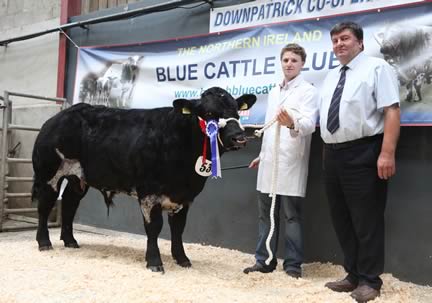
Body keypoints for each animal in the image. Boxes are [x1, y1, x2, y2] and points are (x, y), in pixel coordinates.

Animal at [33, 87, 256, 274]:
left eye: (237, 112)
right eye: (209, 113)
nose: (239, 137)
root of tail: (58, 117)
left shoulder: (185, 197)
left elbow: (178, 228)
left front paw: (182, 258)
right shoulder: (149, 193)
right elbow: (154, 227)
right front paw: (154, 262)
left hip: (78, 179)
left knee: (69, 204)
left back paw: (70, 240)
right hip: (48, 174)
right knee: (45, 205)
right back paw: (44, 242)